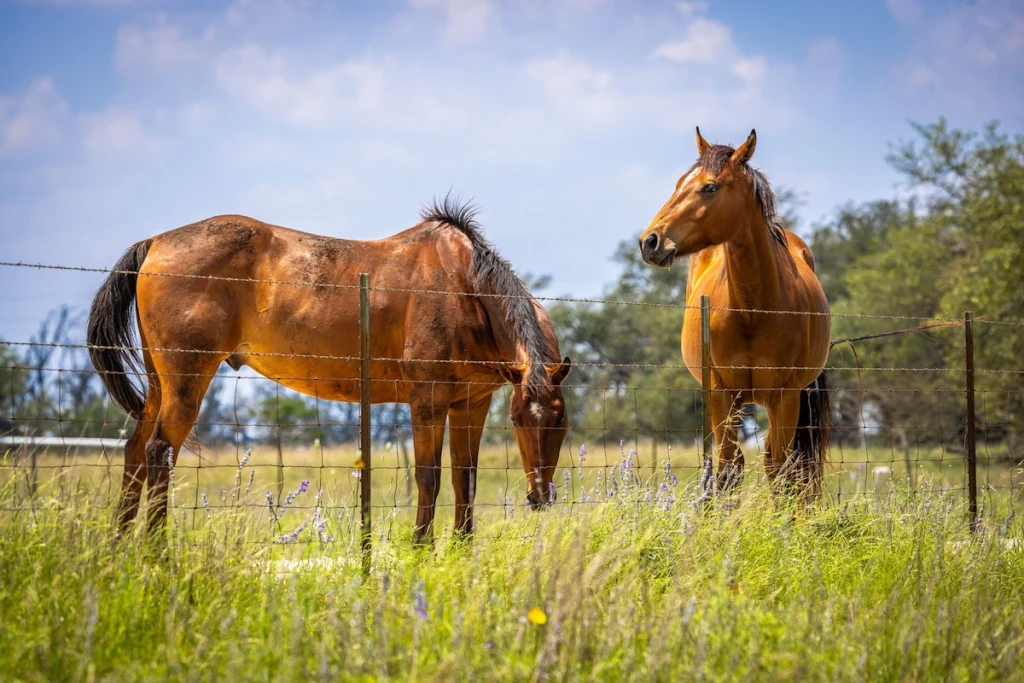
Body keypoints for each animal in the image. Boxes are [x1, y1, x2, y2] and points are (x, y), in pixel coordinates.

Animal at [87, 198, 572, 543]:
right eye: (518, 421)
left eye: (560, 423)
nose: (540, 497)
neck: (464, 288)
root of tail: (155, 242)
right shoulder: (428, 402)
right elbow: (429, 477)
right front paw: (421, 549)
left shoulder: (471, 403)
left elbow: (464, 479)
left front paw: (462, 550)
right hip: (187, 382)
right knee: (158, 452)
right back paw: (157, 553)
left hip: (160, 385)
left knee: (136, 452)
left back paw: (119, 549)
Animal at [638, 128, 830, 497]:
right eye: (679, 183)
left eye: (709, 187)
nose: (650, 241)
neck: (753, 310)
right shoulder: (721, 395)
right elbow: (729, 470)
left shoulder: (786, 396)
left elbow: (780, 470)